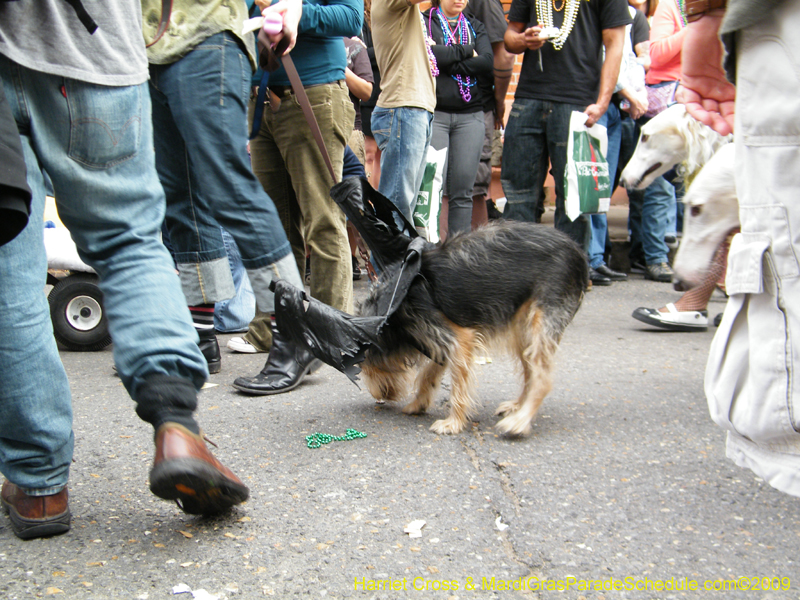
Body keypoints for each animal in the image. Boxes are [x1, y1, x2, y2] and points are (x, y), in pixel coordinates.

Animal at [268, 178, 588, 436]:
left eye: (362, 365)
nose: (378, 397)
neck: (394, 309)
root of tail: (579, 254)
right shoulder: (435, 340)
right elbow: (428, 374)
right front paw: (418, 403)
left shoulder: (460, 339)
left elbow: (457, 381)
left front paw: (454, 422)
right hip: (522, 329)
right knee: (531, 372)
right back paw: (517, 407)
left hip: (540, 322)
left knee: (542, 379)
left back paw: (520, 421)